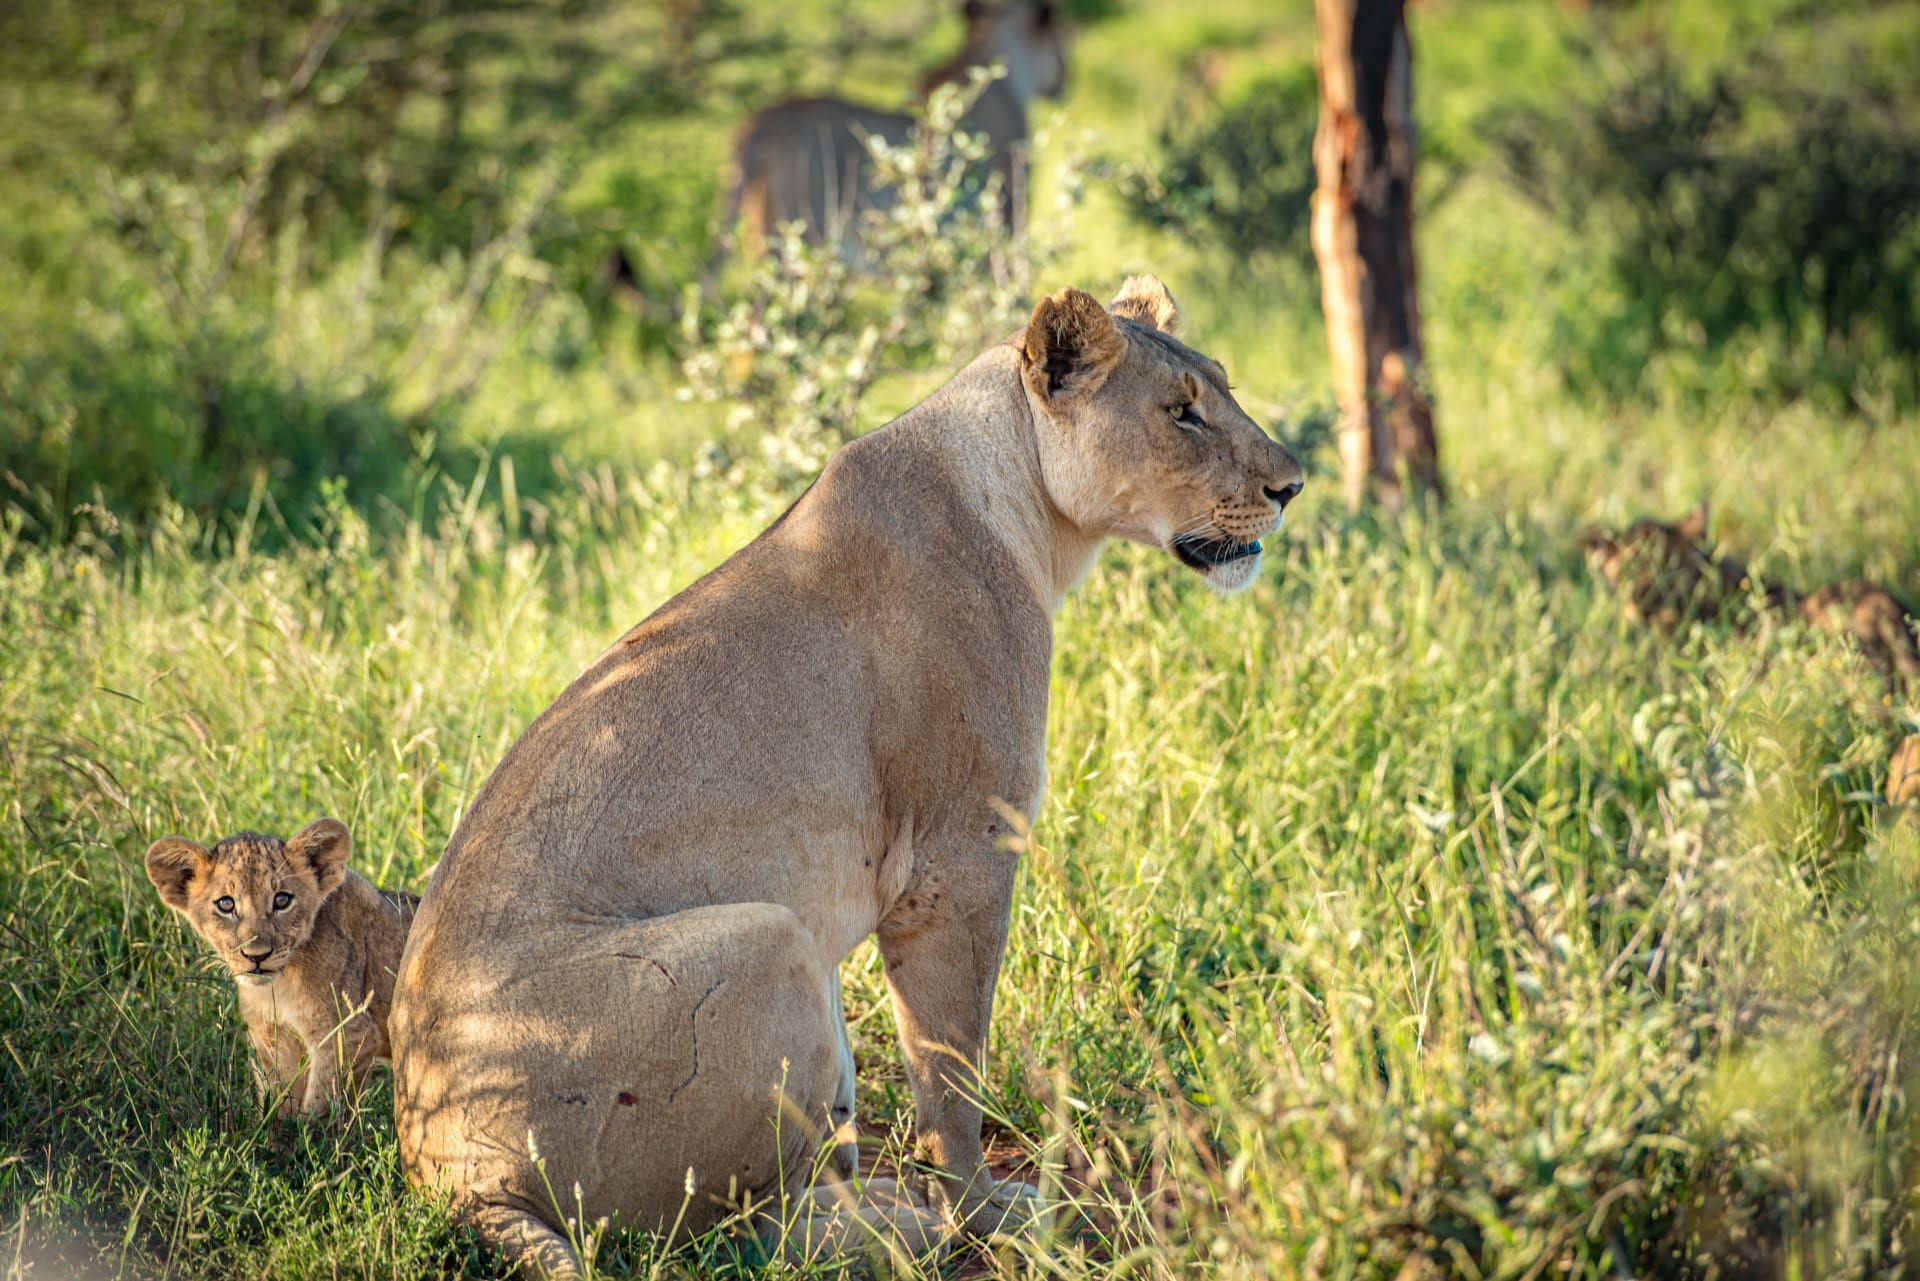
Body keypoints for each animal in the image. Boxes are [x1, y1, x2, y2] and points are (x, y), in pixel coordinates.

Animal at [145, 818, 418, 1120]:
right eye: (226, 904)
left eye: (282, 900)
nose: (257, 956)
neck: (279, 987)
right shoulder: (274, 1038)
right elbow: (279, 1103)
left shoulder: (348, 1034)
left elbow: (321, 1110)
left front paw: (311, 1131)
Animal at [389, 275, 1305, 1276]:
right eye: (1182, 413)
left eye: (1221, 388)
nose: (1293, 486)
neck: (1028, 507)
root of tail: (455, 1173)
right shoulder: (957, 858)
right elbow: (952, 1066)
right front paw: (988, 1212)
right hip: (765, 936)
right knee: (737, 1235)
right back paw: (909, 1228)